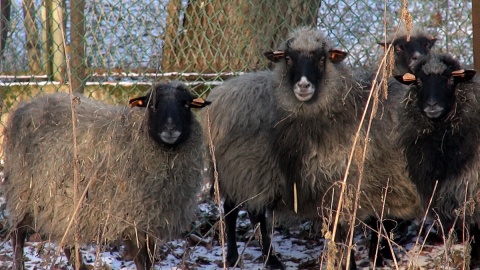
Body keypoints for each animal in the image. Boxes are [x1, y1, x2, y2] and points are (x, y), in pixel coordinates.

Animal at [2, 80, 210, 270]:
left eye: (186, 104)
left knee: (66, 240)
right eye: (153, 105)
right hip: (24, 191)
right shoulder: (132, 218)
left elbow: (148, 261)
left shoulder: (152, 221)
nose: (170, 129)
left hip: (61, 201)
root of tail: (26, 105)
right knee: (17, 234)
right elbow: (141, 260)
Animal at [204, 25, 422, 270]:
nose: (303, 85)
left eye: (321, 59)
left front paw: (378, 256)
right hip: (244, 170)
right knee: (239, 212)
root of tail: (218, 97)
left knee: (240, 210)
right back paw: (249, 258)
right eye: (288, 59)